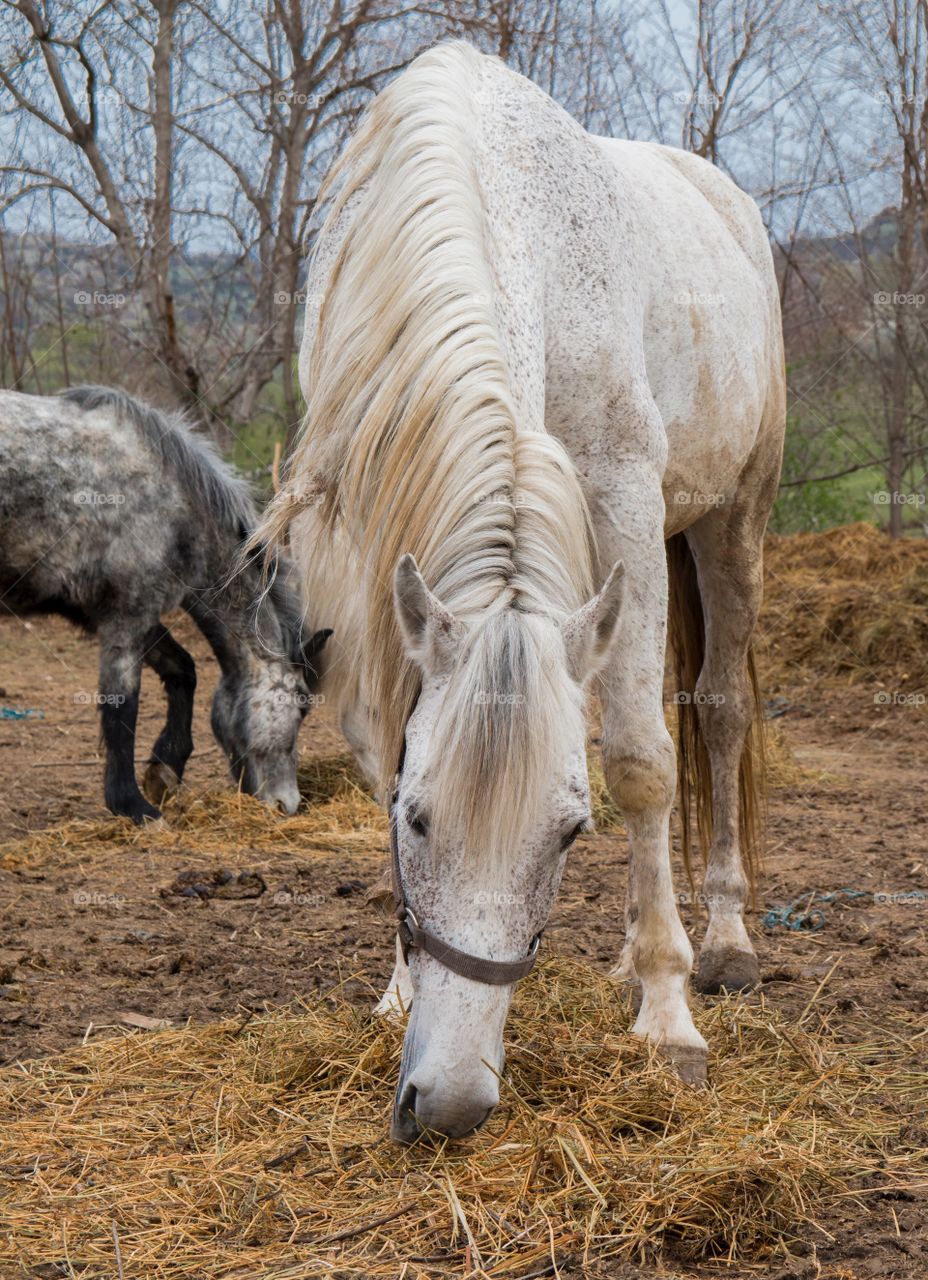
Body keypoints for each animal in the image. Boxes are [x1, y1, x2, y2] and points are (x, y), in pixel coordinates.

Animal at [261, 42, 783, 1141]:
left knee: (716, 713)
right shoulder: (358, 541)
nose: (452, 1100)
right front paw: (399, 991)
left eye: (569, 832)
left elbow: (640, 761)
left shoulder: (622, 494)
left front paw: (667, 1015)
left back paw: (718, 941)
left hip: (731, 519)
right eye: (416, 819)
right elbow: (378, 742)